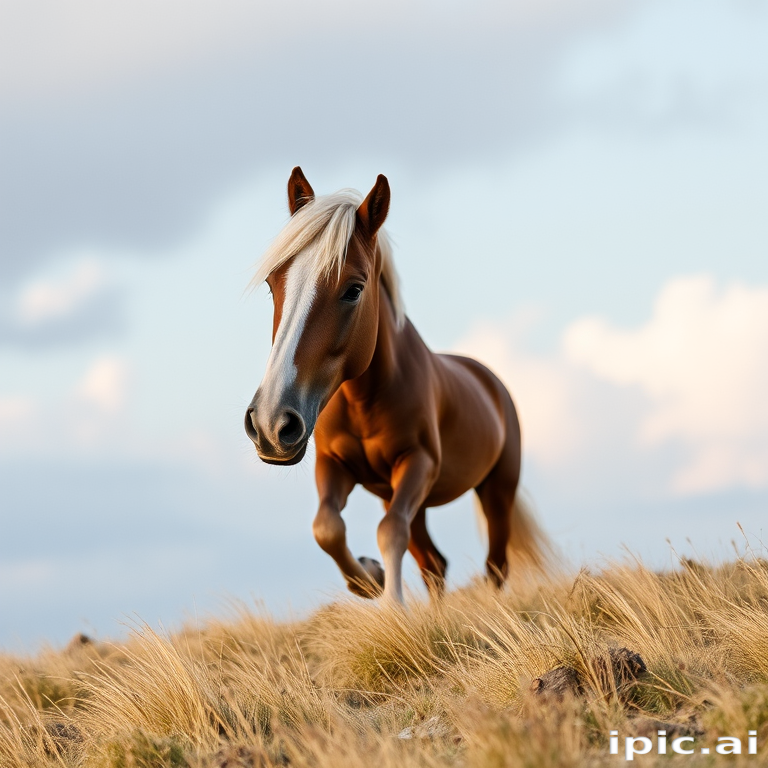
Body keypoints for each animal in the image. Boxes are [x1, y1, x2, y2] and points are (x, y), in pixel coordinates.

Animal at [245, 167, 545, 603]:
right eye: (272, 284)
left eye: (354, 289)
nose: (270, 424)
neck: (363, 400)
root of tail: (488, 378)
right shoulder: (333, 466)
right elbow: (327, 528)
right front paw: (370, 577)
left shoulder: (419, 462)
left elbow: (389, 532)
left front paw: (392, 603)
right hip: (401, 495)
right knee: (434, 563)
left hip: (496, 491)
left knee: (494, 564)